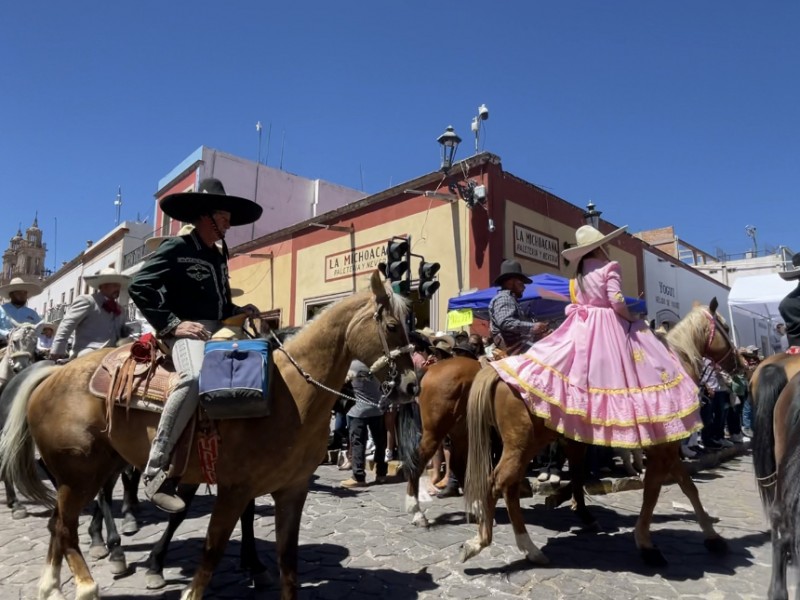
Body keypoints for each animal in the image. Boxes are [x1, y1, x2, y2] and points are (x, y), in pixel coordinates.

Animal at [1, 270, 418, 600]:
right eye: (392, 326)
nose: (411, 386)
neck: (293, 394)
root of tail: (53, 372)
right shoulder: (234, 488)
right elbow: (211, 552)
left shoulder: (292, 490)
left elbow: (288, 563)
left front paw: (257, 568)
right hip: (79, 472)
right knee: (66, 525)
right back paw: (90, 580)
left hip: (90, 469)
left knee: (59, 522)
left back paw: (53, 585)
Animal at [462, 300, 744, 568]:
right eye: (726, 328)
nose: (739, 364)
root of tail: (496, 371)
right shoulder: (663, 447)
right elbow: (654, 490)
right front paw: (647, 544)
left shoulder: (654, 447)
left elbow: (686, 487)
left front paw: (712, 537)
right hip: (523, 444)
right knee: (496, 482)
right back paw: (488, 541)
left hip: (523, 445)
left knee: (508, 486)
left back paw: (523, 545)